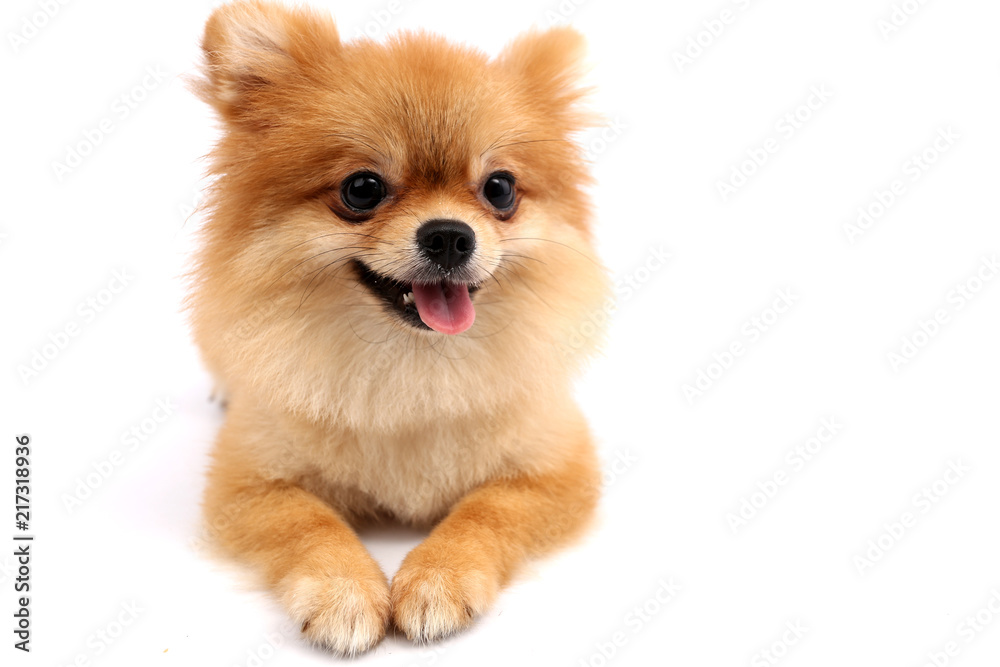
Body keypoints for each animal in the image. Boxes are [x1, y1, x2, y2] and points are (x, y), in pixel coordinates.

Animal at [188, 0, 608, 656]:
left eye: (500, 188)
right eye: (362, 189)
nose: (449, 235)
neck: (412, 363)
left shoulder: (554, 470)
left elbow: (486, 512)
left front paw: (438, 578)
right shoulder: (247, 483)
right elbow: (308, 524)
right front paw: (343, 592)